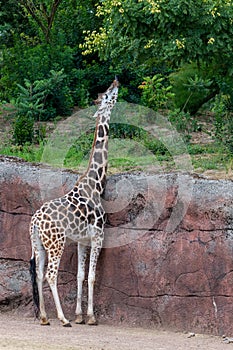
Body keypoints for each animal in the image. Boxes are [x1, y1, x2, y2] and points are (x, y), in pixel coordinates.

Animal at [29, 78, 119, 326]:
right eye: (107, 95)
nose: (116, 81)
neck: (95, 185)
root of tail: (34, 222)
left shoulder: (82, 240)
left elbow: (80, 275)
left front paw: (79, 315)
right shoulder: (98, 236)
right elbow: (92, 276)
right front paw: (90, 317)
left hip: (38, 244)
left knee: (38, 273)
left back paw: (44, 316)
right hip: (56, 243)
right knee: (50, 274)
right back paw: (62, 318)